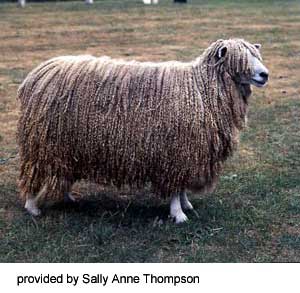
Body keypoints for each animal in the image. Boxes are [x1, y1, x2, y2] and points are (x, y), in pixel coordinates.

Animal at [17, 38, 268, 221]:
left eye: (256, 55)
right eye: (240, 59)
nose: (265, 74)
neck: (200, 87)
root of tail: (37, 74)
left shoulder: (188, 153)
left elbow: (182, 185)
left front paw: (186, 204)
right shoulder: (175, 151)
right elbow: (175, 186)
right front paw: (178, 214)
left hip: (66, 146)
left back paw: (68, 196)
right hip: (42, 144)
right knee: (34, 172)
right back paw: (32, 207)